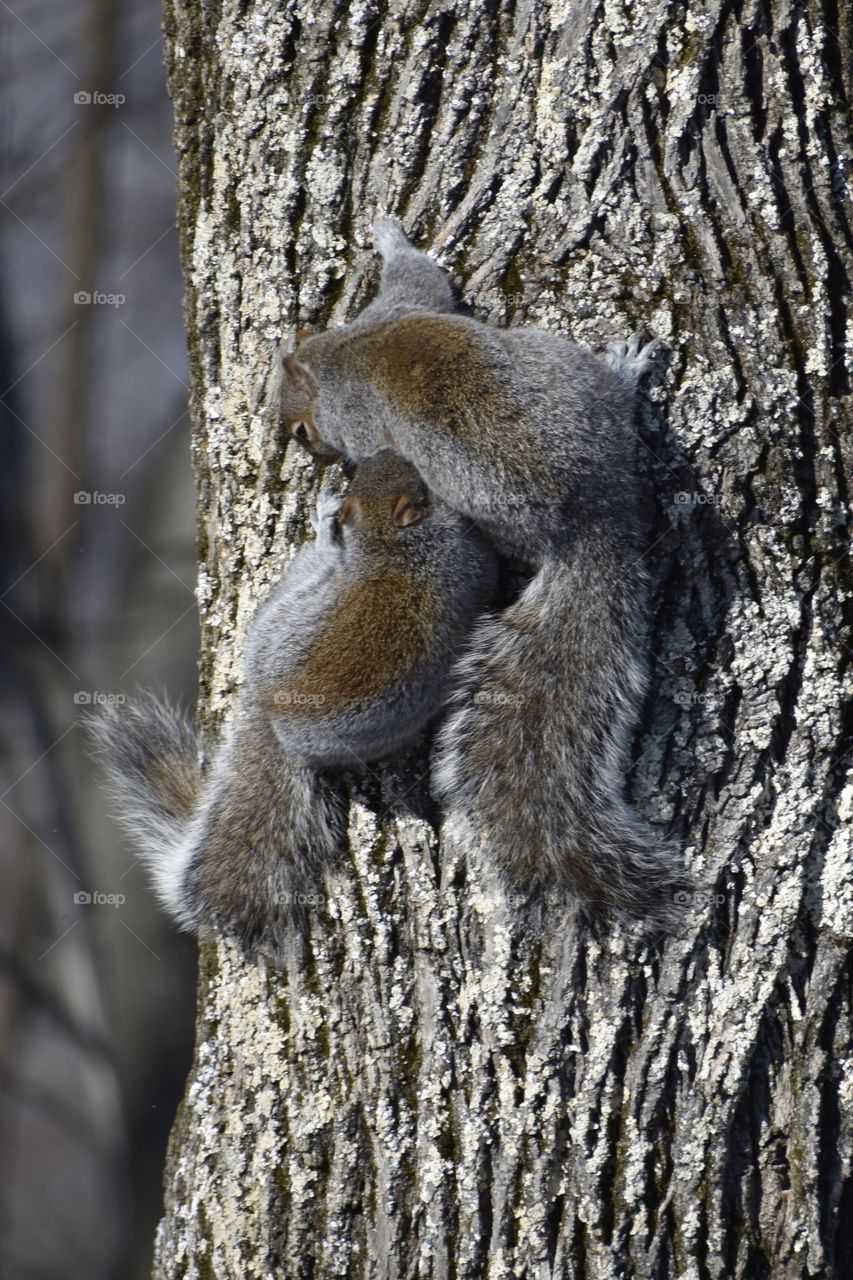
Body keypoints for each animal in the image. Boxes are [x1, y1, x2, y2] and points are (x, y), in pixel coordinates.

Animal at [281, 217, 681, 921]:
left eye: (300, 430)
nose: (312, 453)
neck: (343, 354)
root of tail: (596, 513)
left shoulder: (381, 361)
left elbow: (417, 278)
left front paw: (386, 235)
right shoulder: (399, 312)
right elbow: (425, 283)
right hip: (562, 370)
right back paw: (625, 375)